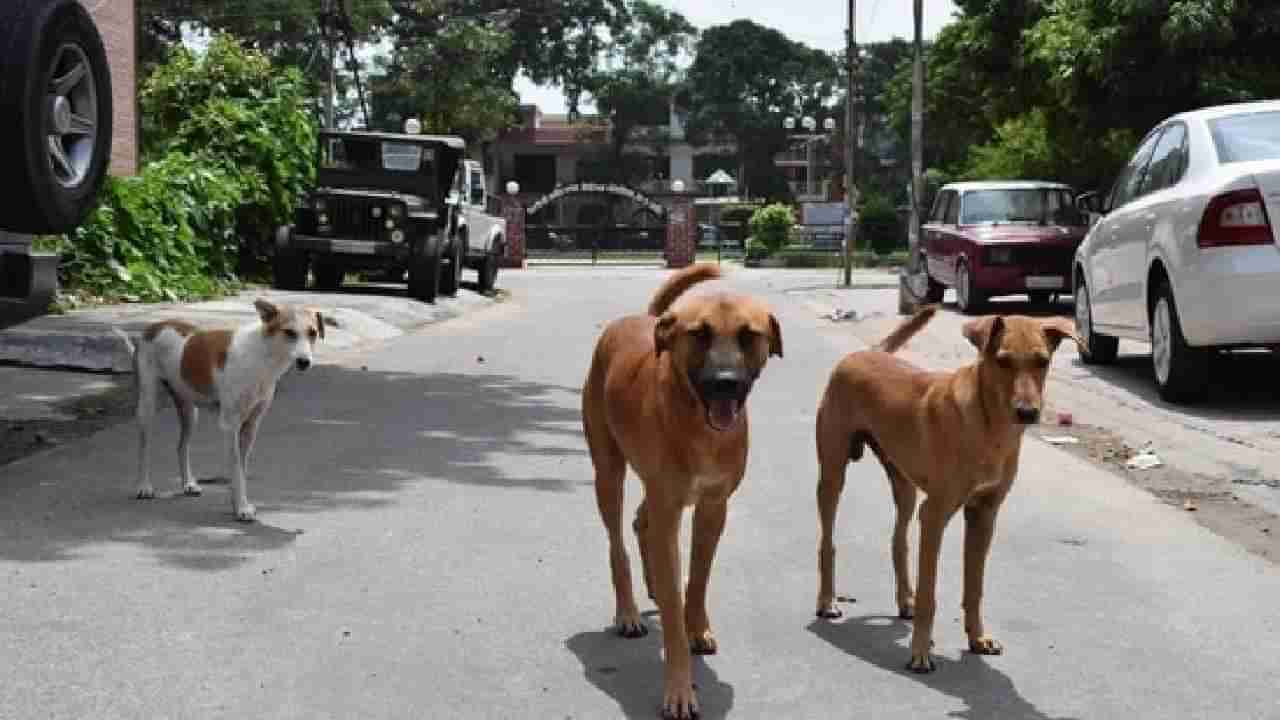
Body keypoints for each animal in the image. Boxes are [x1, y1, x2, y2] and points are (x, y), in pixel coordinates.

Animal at [113, 297, 330, 520]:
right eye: (289, 332)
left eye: (313, 333)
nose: (304, 362)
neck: (261, 356)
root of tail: (154, 327)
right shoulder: (230, 426)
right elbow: (235, 468)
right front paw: (241, 508)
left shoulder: (251, 427)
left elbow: (241, 470)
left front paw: (238, 503)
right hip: (147, 405)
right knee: (144, 448)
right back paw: (143, 486)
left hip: (189, 411)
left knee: (181, 446)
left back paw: (188, 484)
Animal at [581, 263, 778, 717]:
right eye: (699, 334)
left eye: (748, 335)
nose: (725, 383)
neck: (699, 427)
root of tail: (643, 318)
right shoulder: (669, 508)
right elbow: (672, 607)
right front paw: (679, 688)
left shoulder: (712, 507)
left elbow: (698, 578)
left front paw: (697, 626)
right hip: (608, 473)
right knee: (618, 542)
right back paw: (628, 611)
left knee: (641, 521)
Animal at [814, 304, 1075, 671]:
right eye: (1003, 360)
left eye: (1043, 361)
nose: (1027, 412)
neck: (989, 426)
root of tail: (868, 352)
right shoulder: (935, 515)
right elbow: (930, 593)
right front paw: (920, 652)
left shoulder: (984, 514)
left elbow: (974, 587)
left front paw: (978, 639)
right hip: (833, 473)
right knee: (828, 542)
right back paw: (827, 601)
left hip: (905, 487)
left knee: (898, 541)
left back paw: (904, 601)